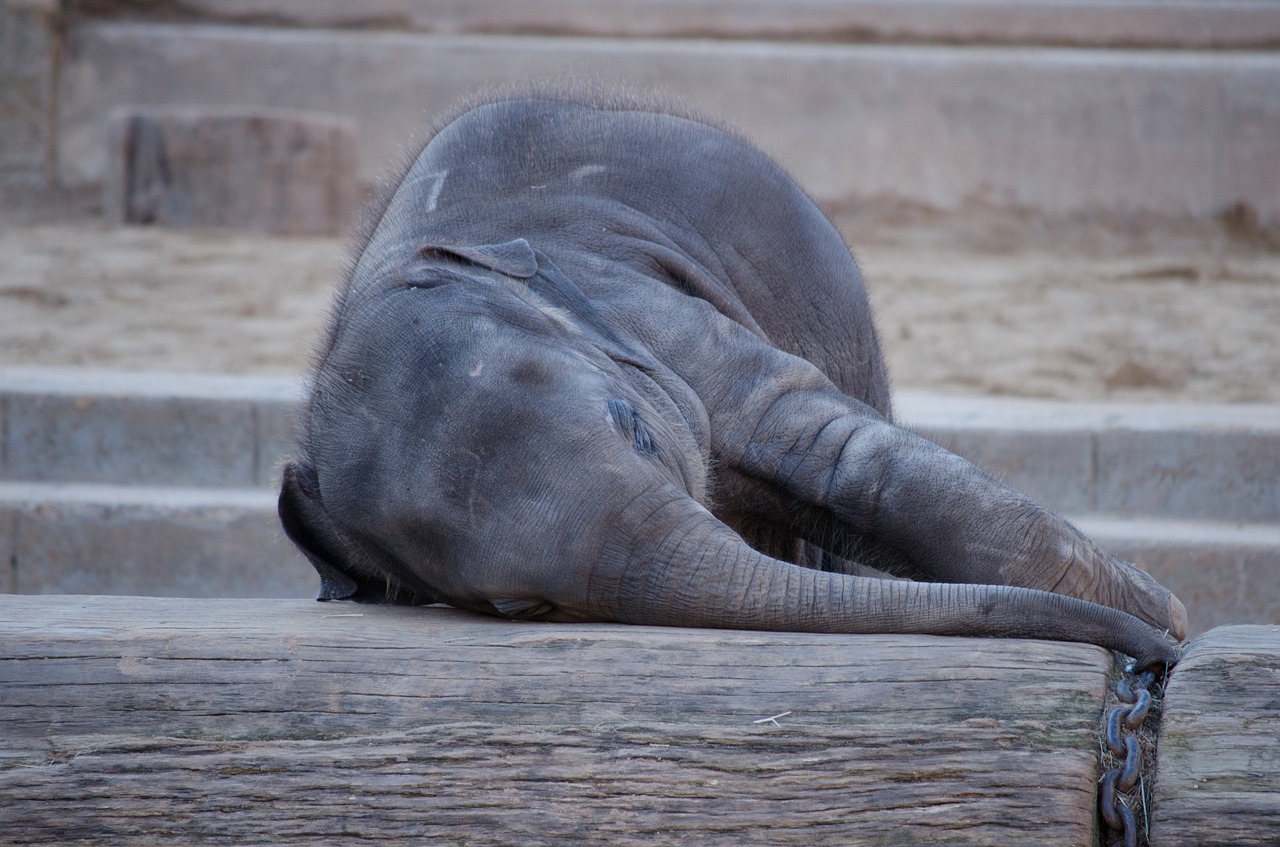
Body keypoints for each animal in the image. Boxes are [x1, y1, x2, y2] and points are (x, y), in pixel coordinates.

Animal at [280, 86, 1187, 670]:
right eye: (520, 608)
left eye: (634, 428)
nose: (1151, 657)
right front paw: (1152, 616)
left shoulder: (649, 307)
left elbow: (831, 450)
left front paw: (1162, 616)